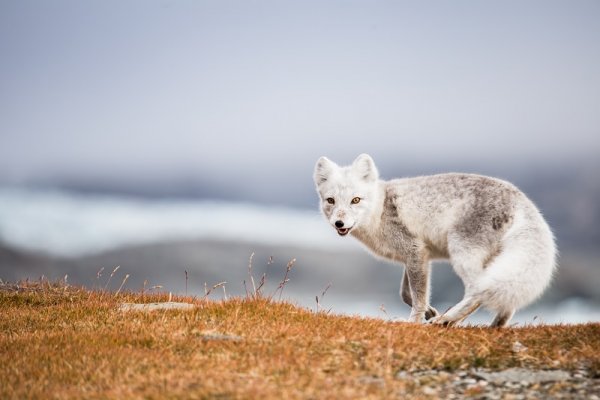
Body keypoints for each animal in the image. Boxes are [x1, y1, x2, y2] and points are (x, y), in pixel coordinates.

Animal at [314, 155, 556, 326]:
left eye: (356, 200)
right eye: (331, 201)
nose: (339, 223)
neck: (379, 210)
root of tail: (520, 199)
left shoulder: (414, 251)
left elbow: (417, 295)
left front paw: (414, 322)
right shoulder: (418, 256)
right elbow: (406, 293)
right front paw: (430, 312)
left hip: (462, 254)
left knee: (477, 292)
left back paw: (448, 320)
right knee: (505, 299)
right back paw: (493, 327)